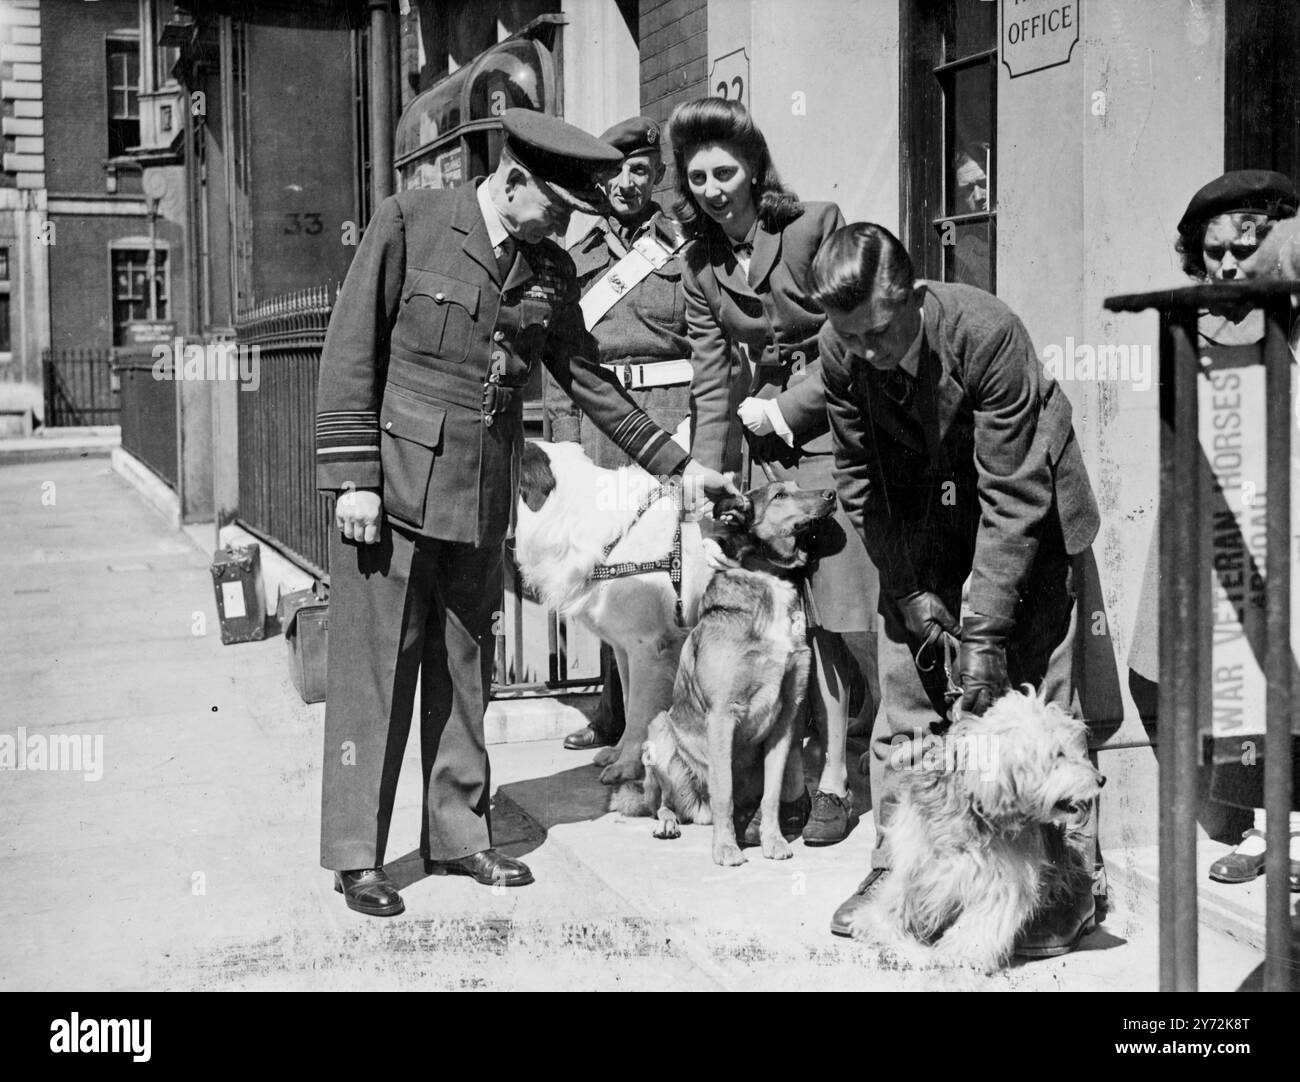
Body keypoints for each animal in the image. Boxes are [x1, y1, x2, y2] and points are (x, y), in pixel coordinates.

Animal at [613, 486, 837, 868]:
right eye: (780, 494)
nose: (831, 493)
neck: (770, 580)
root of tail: (697, 810)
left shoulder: (786, 719)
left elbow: (772, 795)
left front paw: (773, 840)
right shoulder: (722, 716)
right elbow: (724, 794)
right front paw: (726, 848)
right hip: (659, 732)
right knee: (662, 802)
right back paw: (669, 823)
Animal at [852, 686, 1107, 977]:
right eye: (1059, 754)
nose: (1101, 779)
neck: (975, 810)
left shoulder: (1003, 880)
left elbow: (981, 921)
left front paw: (961, 954)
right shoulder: (917, 858)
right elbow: (898, 894)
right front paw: (877, 925)